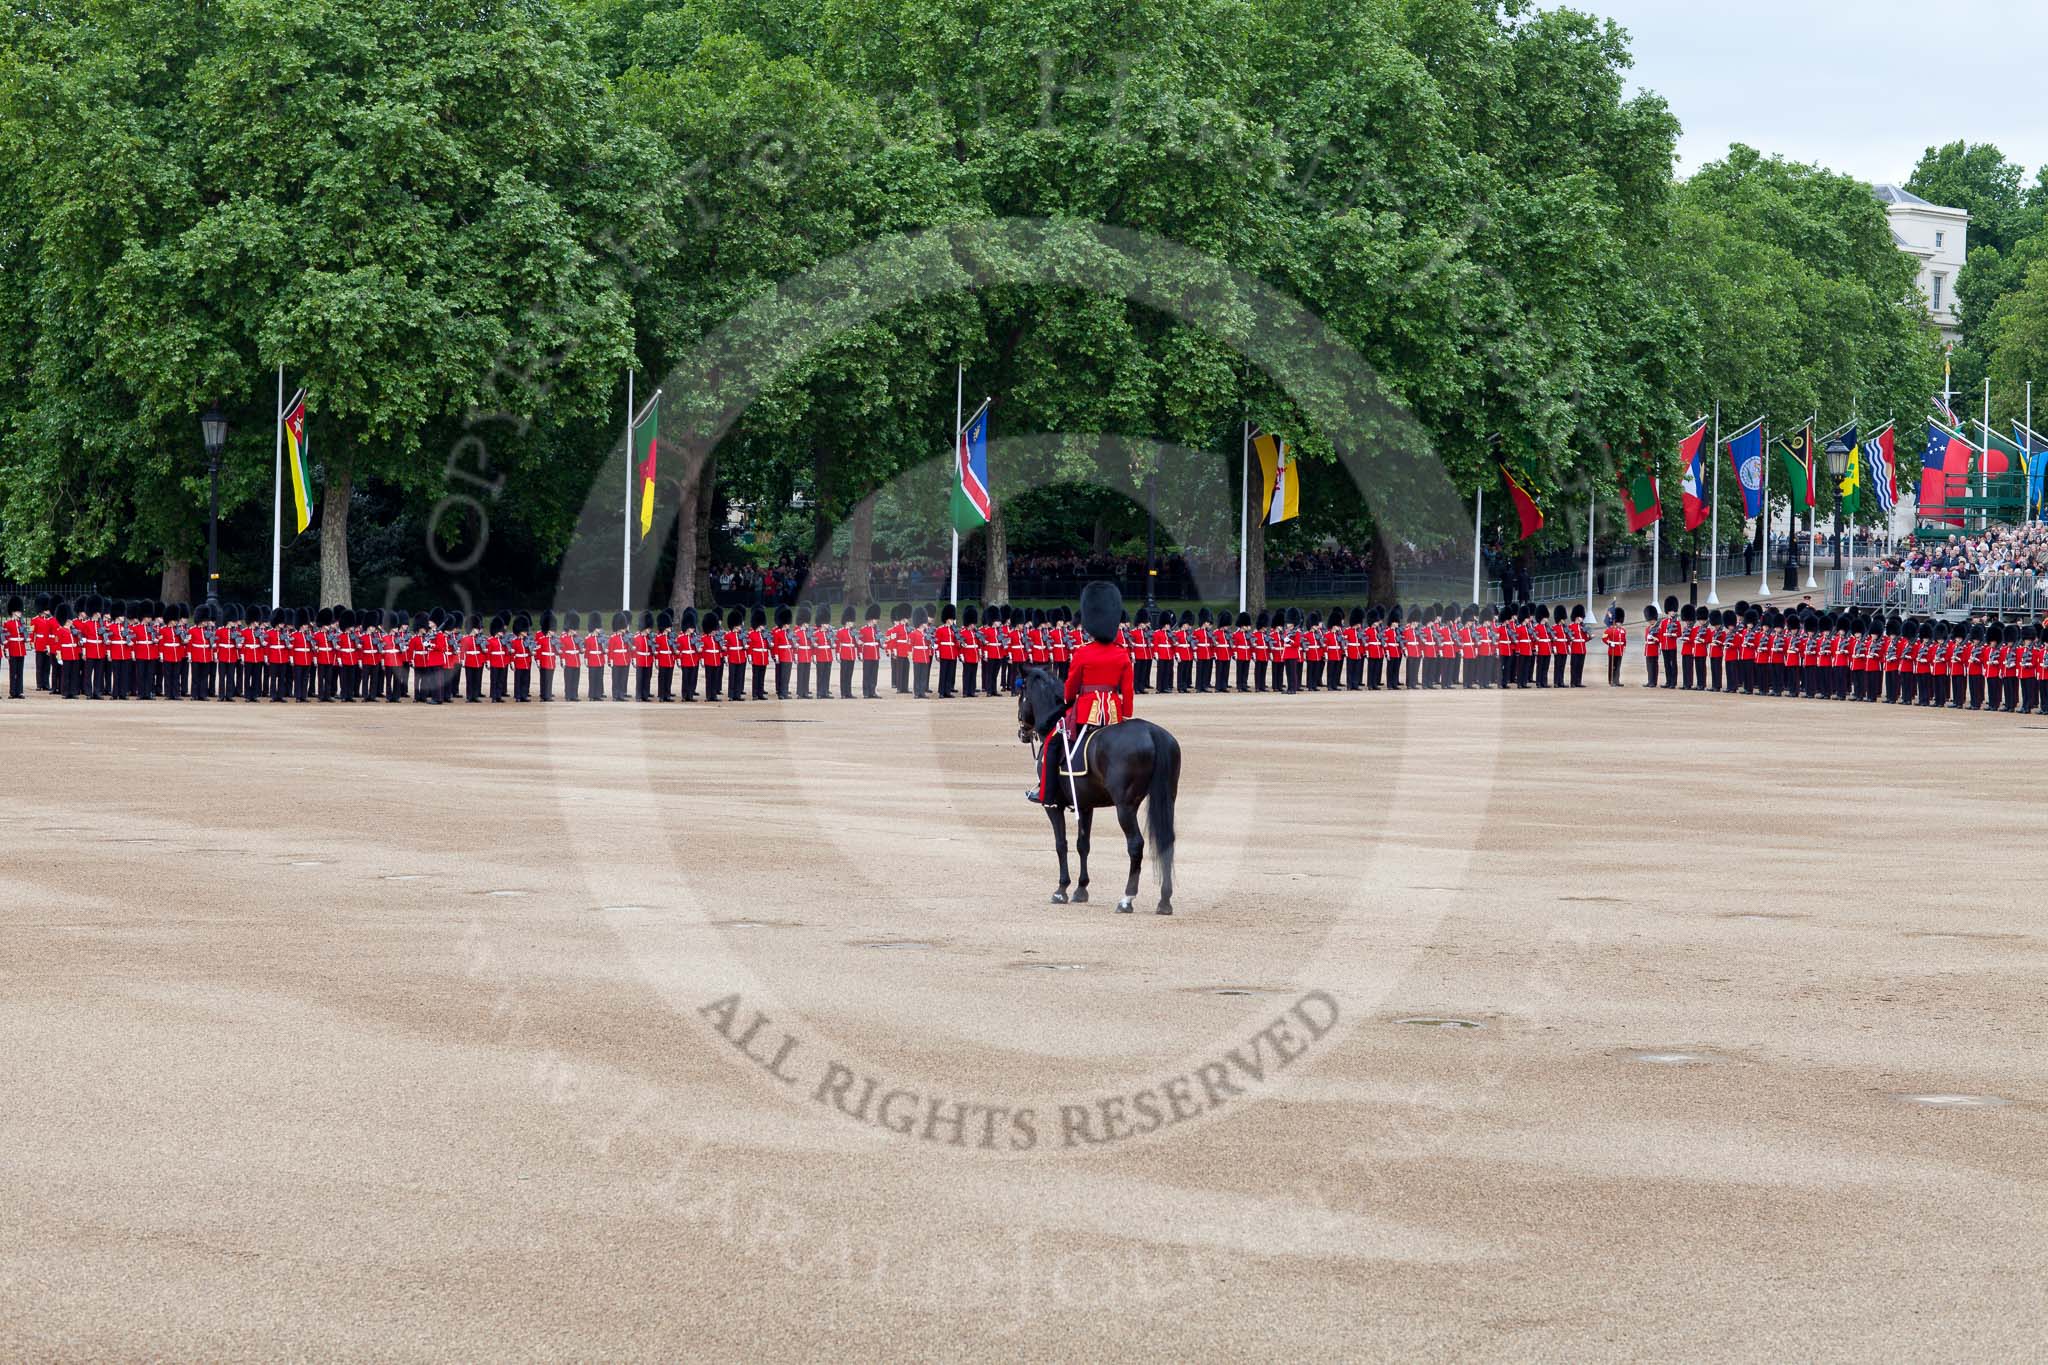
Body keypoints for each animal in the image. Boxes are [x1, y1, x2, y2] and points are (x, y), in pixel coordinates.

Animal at [1011, 667, 1179, 912]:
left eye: (1021, 694)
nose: (1022, 732)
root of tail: (1152, 733)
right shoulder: (1085, 805)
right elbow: (1083, 845)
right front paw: (1081, 889)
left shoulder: (1053, 804)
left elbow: (1061, 844)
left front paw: (1061, 889)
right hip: (1167, 799)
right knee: (1167, 842)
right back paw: (1164, 900)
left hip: (1125, 806)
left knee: (1135, 844)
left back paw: (1127, 899)